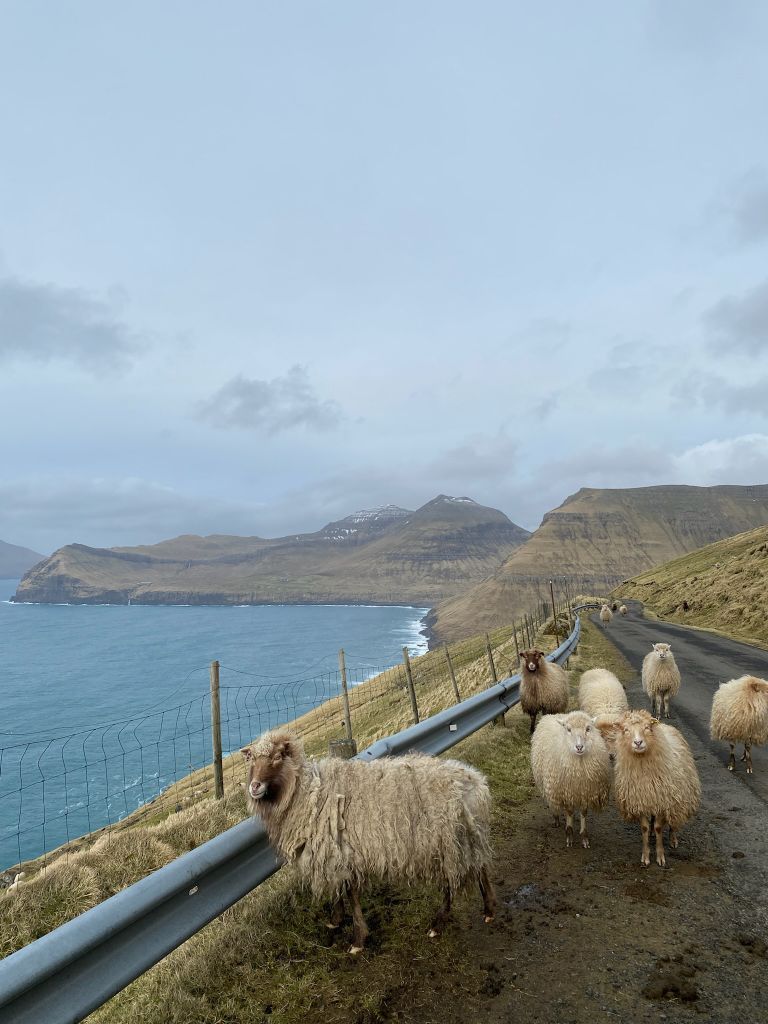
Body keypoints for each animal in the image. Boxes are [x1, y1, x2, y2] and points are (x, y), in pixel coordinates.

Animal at [241, 729, 499, 950]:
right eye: (251, 759)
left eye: (277, 757)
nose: (254, 787)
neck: (307, 792)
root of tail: (476, 781)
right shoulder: (335, 855)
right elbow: (340, 890)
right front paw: (336, 920)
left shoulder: (342, 852)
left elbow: (350, 893)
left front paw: (357, 940)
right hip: (467, 837)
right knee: (481, 867)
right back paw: (489, 910)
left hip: (450, 841)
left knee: (454, 882)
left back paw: (438, 923)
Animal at [532, 712, 610, 847]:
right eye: (568, 729)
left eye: (588, 728)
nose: (579, 747)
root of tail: (554, 714)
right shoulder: (566, 789)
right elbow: (568, 811)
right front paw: (569, 835)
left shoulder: (585, 790)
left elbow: (584, 812)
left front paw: (584, 837)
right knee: (553, 803)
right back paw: (556, 818)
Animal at [598, 708, 700, 868]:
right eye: (626, 730)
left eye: (646, 727)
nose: (638, 742)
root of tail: (665, 725)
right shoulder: (642, 799)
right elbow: (645, 828)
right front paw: (645, 856)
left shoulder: (662, 800)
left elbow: (659, 827)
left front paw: (660, 856)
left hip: (677, 796)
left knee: (673, 821)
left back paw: (673, 839)